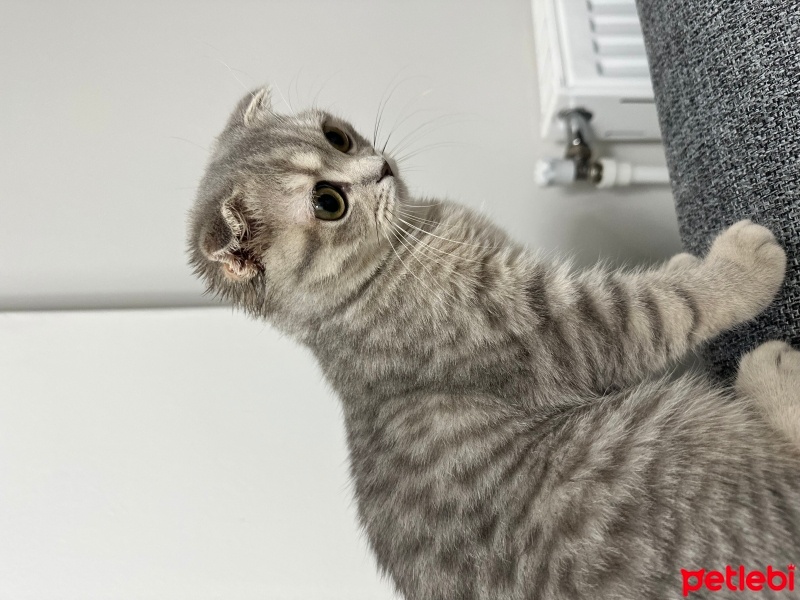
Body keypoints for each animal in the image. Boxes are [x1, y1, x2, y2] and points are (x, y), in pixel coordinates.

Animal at [186, 86, 800, 596]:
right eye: (328, 202)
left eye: (337, 136)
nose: (379, 166)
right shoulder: (560, 324)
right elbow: (663, 304)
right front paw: (739, 268)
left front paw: (683, 261)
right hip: (674, 437)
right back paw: (769, 369)